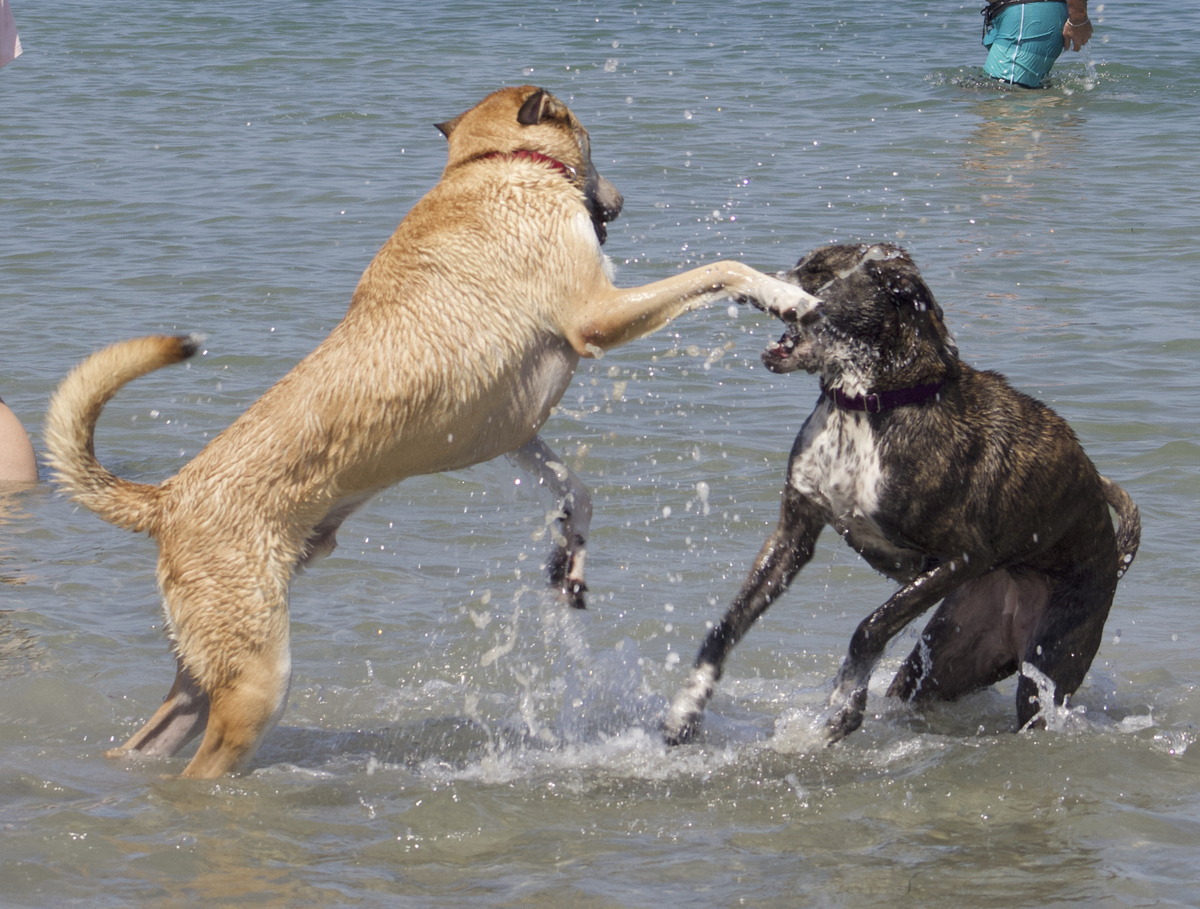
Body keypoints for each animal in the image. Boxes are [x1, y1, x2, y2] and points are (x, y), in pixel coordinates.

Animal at [46, 86, 816, 781]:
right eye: (591, 141)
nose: (621, 200)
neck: (492, 164)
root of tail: (166, 498)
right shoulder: (595, 317)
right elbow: (720, 267)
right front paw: (786, 293)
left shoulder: (512, 431)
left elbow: (575, 490)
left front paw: (568, 559)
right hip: (257, 676)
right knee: (202, 767)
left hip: (208, 661)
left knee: (151, 734)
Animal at [667, 243, 1142, 748]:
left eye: (817, 272)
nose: (746, 290)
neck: (869, 403)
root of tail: (1114, 557)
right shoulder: (794, 535)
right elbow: (727, 625)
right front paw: (685, 710)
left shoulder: (961, 558)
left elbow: (870, 628)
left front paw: (842, 707)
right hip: (948, 655)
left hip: (1048, 661)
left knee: (1034, 705)